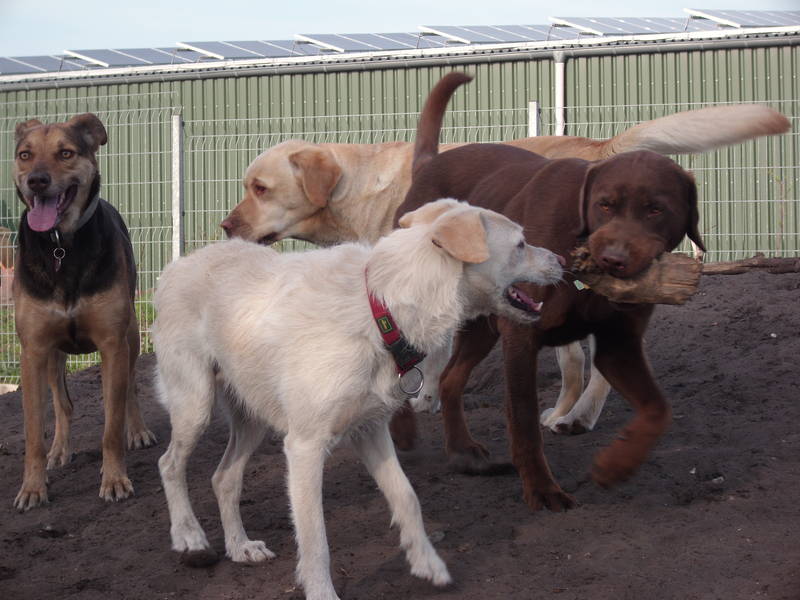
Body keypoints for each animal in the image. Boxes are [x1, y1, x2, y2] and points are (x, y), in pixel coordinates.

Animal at [12, 113, 155, 511]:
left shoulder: (111, 344)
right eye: (25, 154)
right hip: (53, 356)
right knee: (63, 404)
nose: (37, 180)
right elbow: (34, 430)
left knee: (129, 388)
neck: (62, 246)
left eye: (66, 153)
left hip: (131, 337)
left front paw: (115, 479)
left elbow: (111, 424)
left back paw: (138, 431)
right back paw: (60, 451)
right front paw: (33, 487)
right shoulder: (33, 351)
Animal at [153, 199, 564, 600]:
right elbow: (315, 537)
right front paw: (322, 592)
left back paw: (240, 547)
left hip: (252, 418)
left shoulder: (371, 430)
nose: (562, 260)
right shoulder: (304, 447)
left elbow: (407, 498)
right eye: (521, 245)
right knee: (169, 464)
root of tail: (177, 265)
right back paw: (190, 537)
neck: (382, 310)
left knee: (224, 478)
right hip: (195, 405)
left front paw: (427, 563)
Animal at [220, 90, 789, 439]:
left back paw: (568, 414)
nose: (225, 227)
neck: (361, 187)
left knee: (578, 365)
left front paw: (425, 397)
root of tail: (599, 148)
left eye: (260, 188)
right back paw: (572, 415)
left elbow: (428, 356)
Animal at [393, 71, 716, 511]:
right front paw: (542, 489)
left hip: (482, 325)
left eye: (656, 209)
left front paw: (616, 464)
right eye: (604, 205)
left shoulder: (619, 343)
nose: (613, 259)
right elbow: (525, 422)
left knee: (451, 378)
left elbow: (657, 409)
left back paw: (464, 452)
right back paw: (403, 429)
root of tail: (428, 165)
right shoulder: (522, 338)